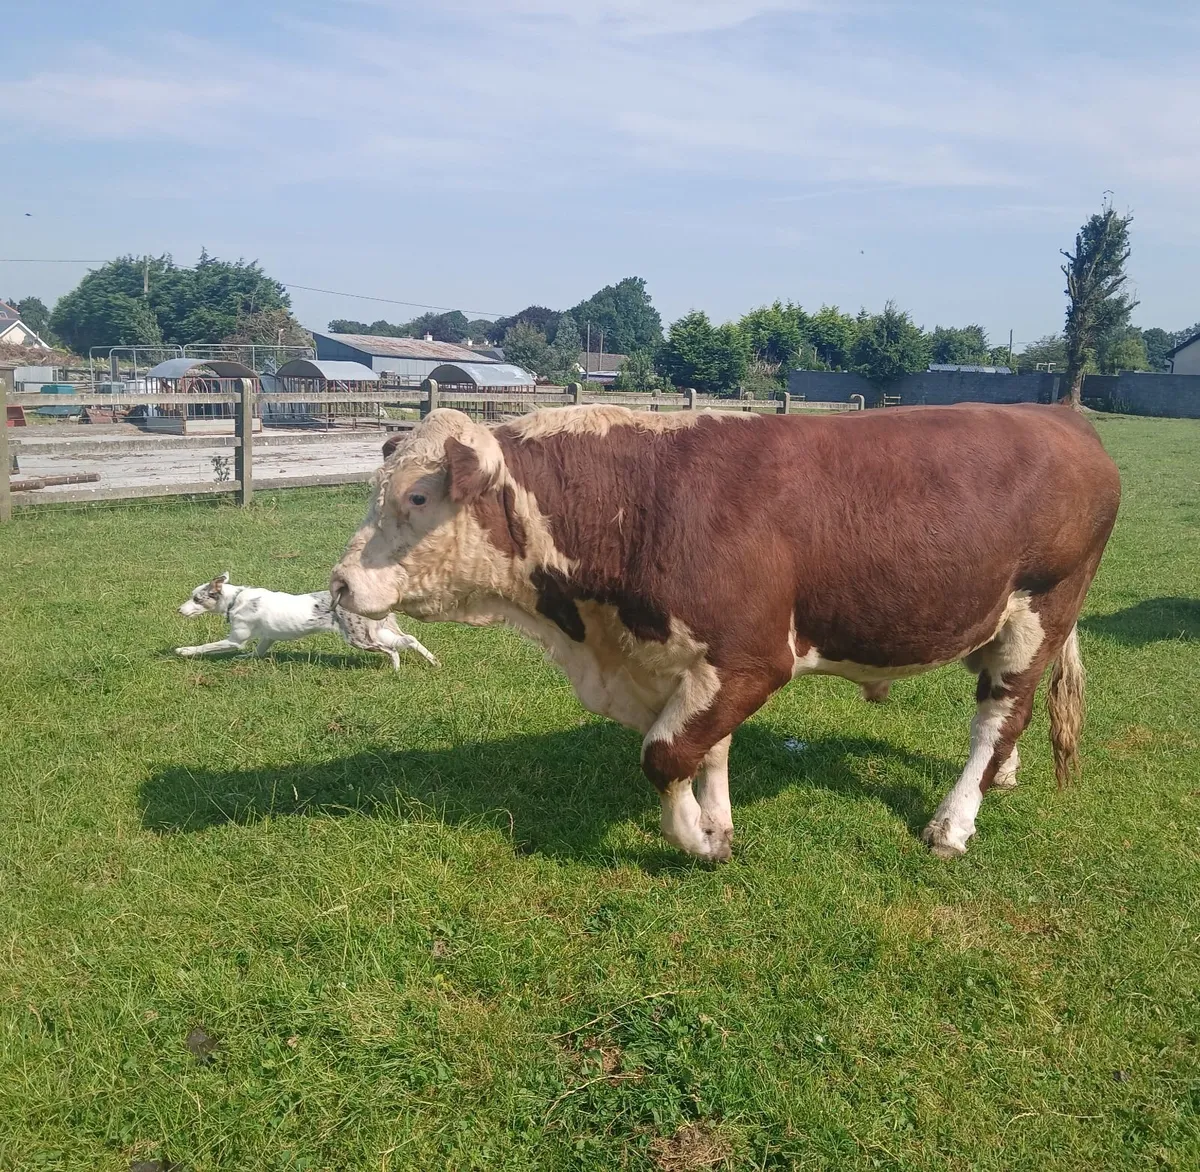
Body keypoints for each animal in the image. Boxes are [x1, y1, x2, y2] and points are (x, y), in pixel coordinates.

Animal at [332, 402, 1120, 862]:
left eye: (418, 496)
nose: (339, 582)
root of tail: (1059, 411)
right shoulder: (691, 664)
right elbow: (705, 749)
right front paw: (717, 820)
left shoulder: (753, 658)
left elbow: (664, 753)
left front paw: (701, 842)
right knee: (1011, 714)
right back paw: (1001, 779)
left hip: (1044, 605)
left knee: (999, 714)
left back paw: (954, 822)